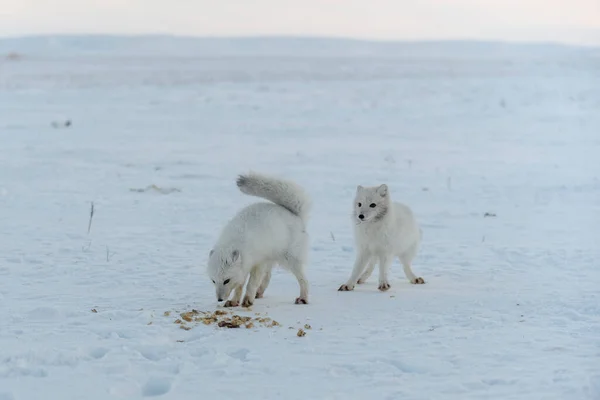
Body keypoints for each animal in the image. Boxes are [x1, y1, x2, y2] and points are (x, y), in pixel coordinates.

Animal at [207, 171, 312, 306]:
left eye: (226, 280)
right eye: (213, 281)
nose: (219, 299)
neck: (235, 242)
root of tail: (295, 215)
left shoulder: (258, 263)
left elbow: (251, 283)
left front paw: (247, 300)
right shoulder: (246, 267)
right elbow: (239, 286)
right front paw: (234, 301)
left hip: (290, 260)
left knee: (303, 279)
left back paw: (303, 298)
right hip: (272, 258)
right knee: (268, 277)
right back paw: (259, 293)